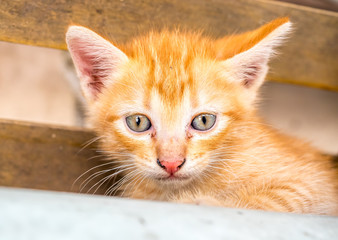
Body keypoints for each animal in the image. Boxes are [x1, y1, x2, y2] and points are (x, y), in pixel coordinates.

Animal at [66, 17, 338, 215]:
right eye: (138, 122)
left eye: (204, 121)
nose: (171, 163)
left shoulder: (315, 185)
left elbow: (276, 200)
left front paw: (200, 201)